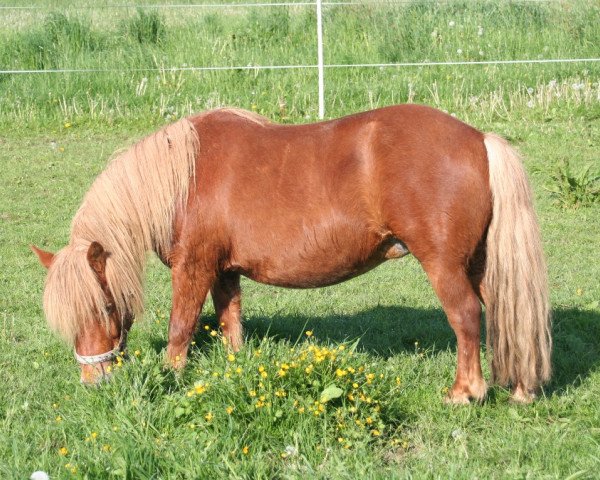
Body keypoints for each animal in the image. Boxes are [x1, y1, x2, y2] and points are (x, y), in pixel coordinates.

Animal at [30, 106, 552, 404]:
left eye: (105, 306)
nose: (93, 381)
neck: (183, 177)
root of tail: (478, 139)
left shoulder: (193, 267)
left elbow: (181, 328)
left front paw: (170, 378)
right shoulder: (224, 271)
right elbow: (231, 322)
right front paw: (235, 371)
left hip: (444, 265)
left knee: (465, 317)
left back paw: (465, 393)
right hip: (478, 264)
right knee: (505, 312)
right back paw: (520, 390)